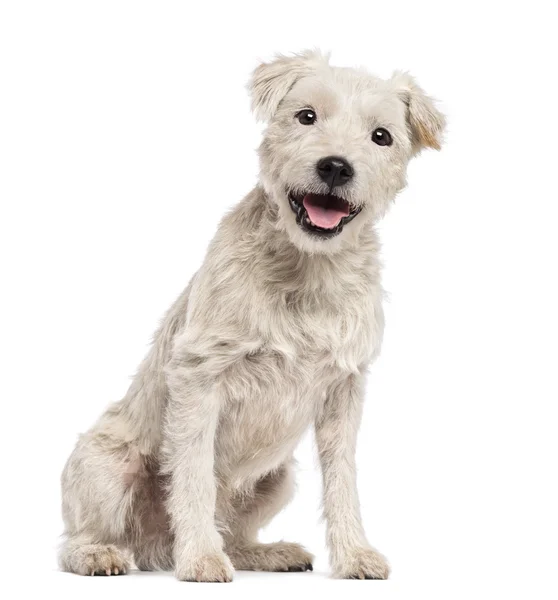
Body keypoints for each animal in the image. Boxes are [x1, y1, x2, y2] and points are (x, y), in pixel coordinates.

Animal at [60, 50, 446, 580]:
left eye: (381, 135)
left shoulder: (344, 391)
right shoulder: (199, 378)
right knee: (77, 539)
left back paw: (268, 553)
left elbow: (343, 478)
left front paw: (353, 554)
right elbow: (193, 477)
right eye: (307, 115)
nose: (335, 167)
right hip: (104, 463)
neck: (308, 270)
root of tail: (154, 548)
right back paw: (103, 553)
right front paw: (201, 559)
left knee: (235, 532)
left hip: (276, 478)